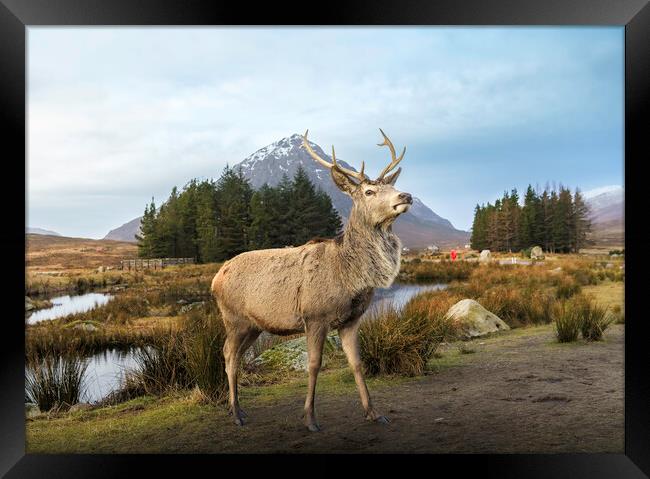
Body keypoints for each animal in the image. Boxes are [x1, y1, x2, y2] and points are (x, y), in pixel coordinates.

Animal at [210, 129, 412, 434]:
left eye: (390, 186)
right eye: (369, 191)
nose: (406, 195)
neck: (350, 276)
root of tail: (215, 278)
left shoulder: (351, 320)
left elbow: (357, 364)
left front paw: (374, 413)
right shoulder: (315, 316)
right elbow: (314, 364)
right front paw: (310, 418)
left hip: (254, 325)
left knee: (236, 355)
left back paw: (238, 408)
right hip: (233, 318)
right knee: (229, 356)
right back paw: (235, 413)